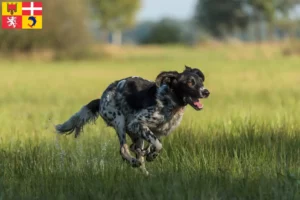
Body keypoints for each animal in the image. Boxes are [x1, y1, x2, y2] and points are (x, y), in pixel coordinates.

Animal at [56, 66, 211, 175]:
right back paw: (134, 162)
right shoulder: (137, 123)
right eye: (189, 82)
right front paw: (151, 156)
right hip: (120, 122)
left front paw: (148, 154)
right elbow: (158, 145)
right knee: (123, 150)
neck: (170, 102)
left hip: (135, 135)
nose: (206, 92)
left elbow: (152, 144)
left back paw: (145, 172)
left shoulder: (157, 131)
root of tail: (101, 99)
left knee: (135, 152)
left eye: (201, 81)